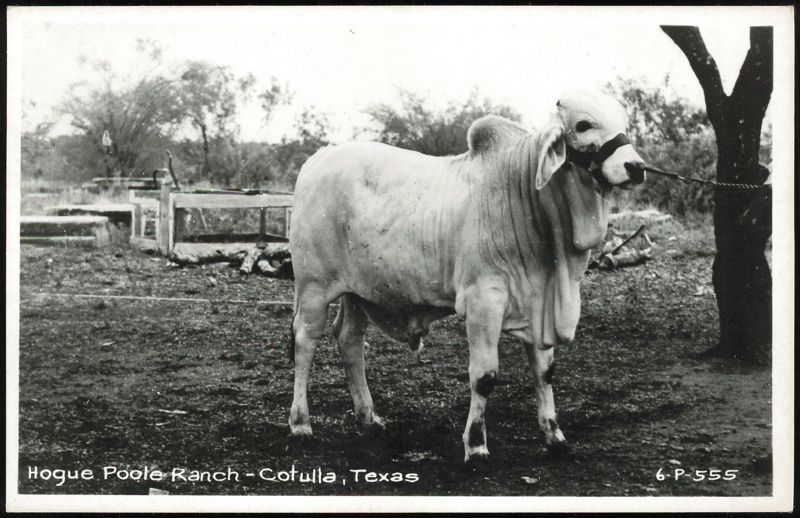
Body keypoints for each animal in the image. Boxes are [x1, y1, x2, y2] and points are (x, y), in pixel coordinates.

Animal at [288, 90, 645, 463]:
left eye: (623, 121)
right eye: (584, 124)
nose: (636, 167)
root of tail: (318, 159)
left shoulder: (538, 300)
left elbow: (545, 371)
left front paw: (554, 434)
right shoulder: (483, 300)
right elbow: (484, 376)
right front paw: (475, 444)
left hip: (360, 292)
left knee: (349, 340)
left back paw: (369, 416)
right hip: (314, 287)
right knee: (305, 341)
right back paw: (300, 423)